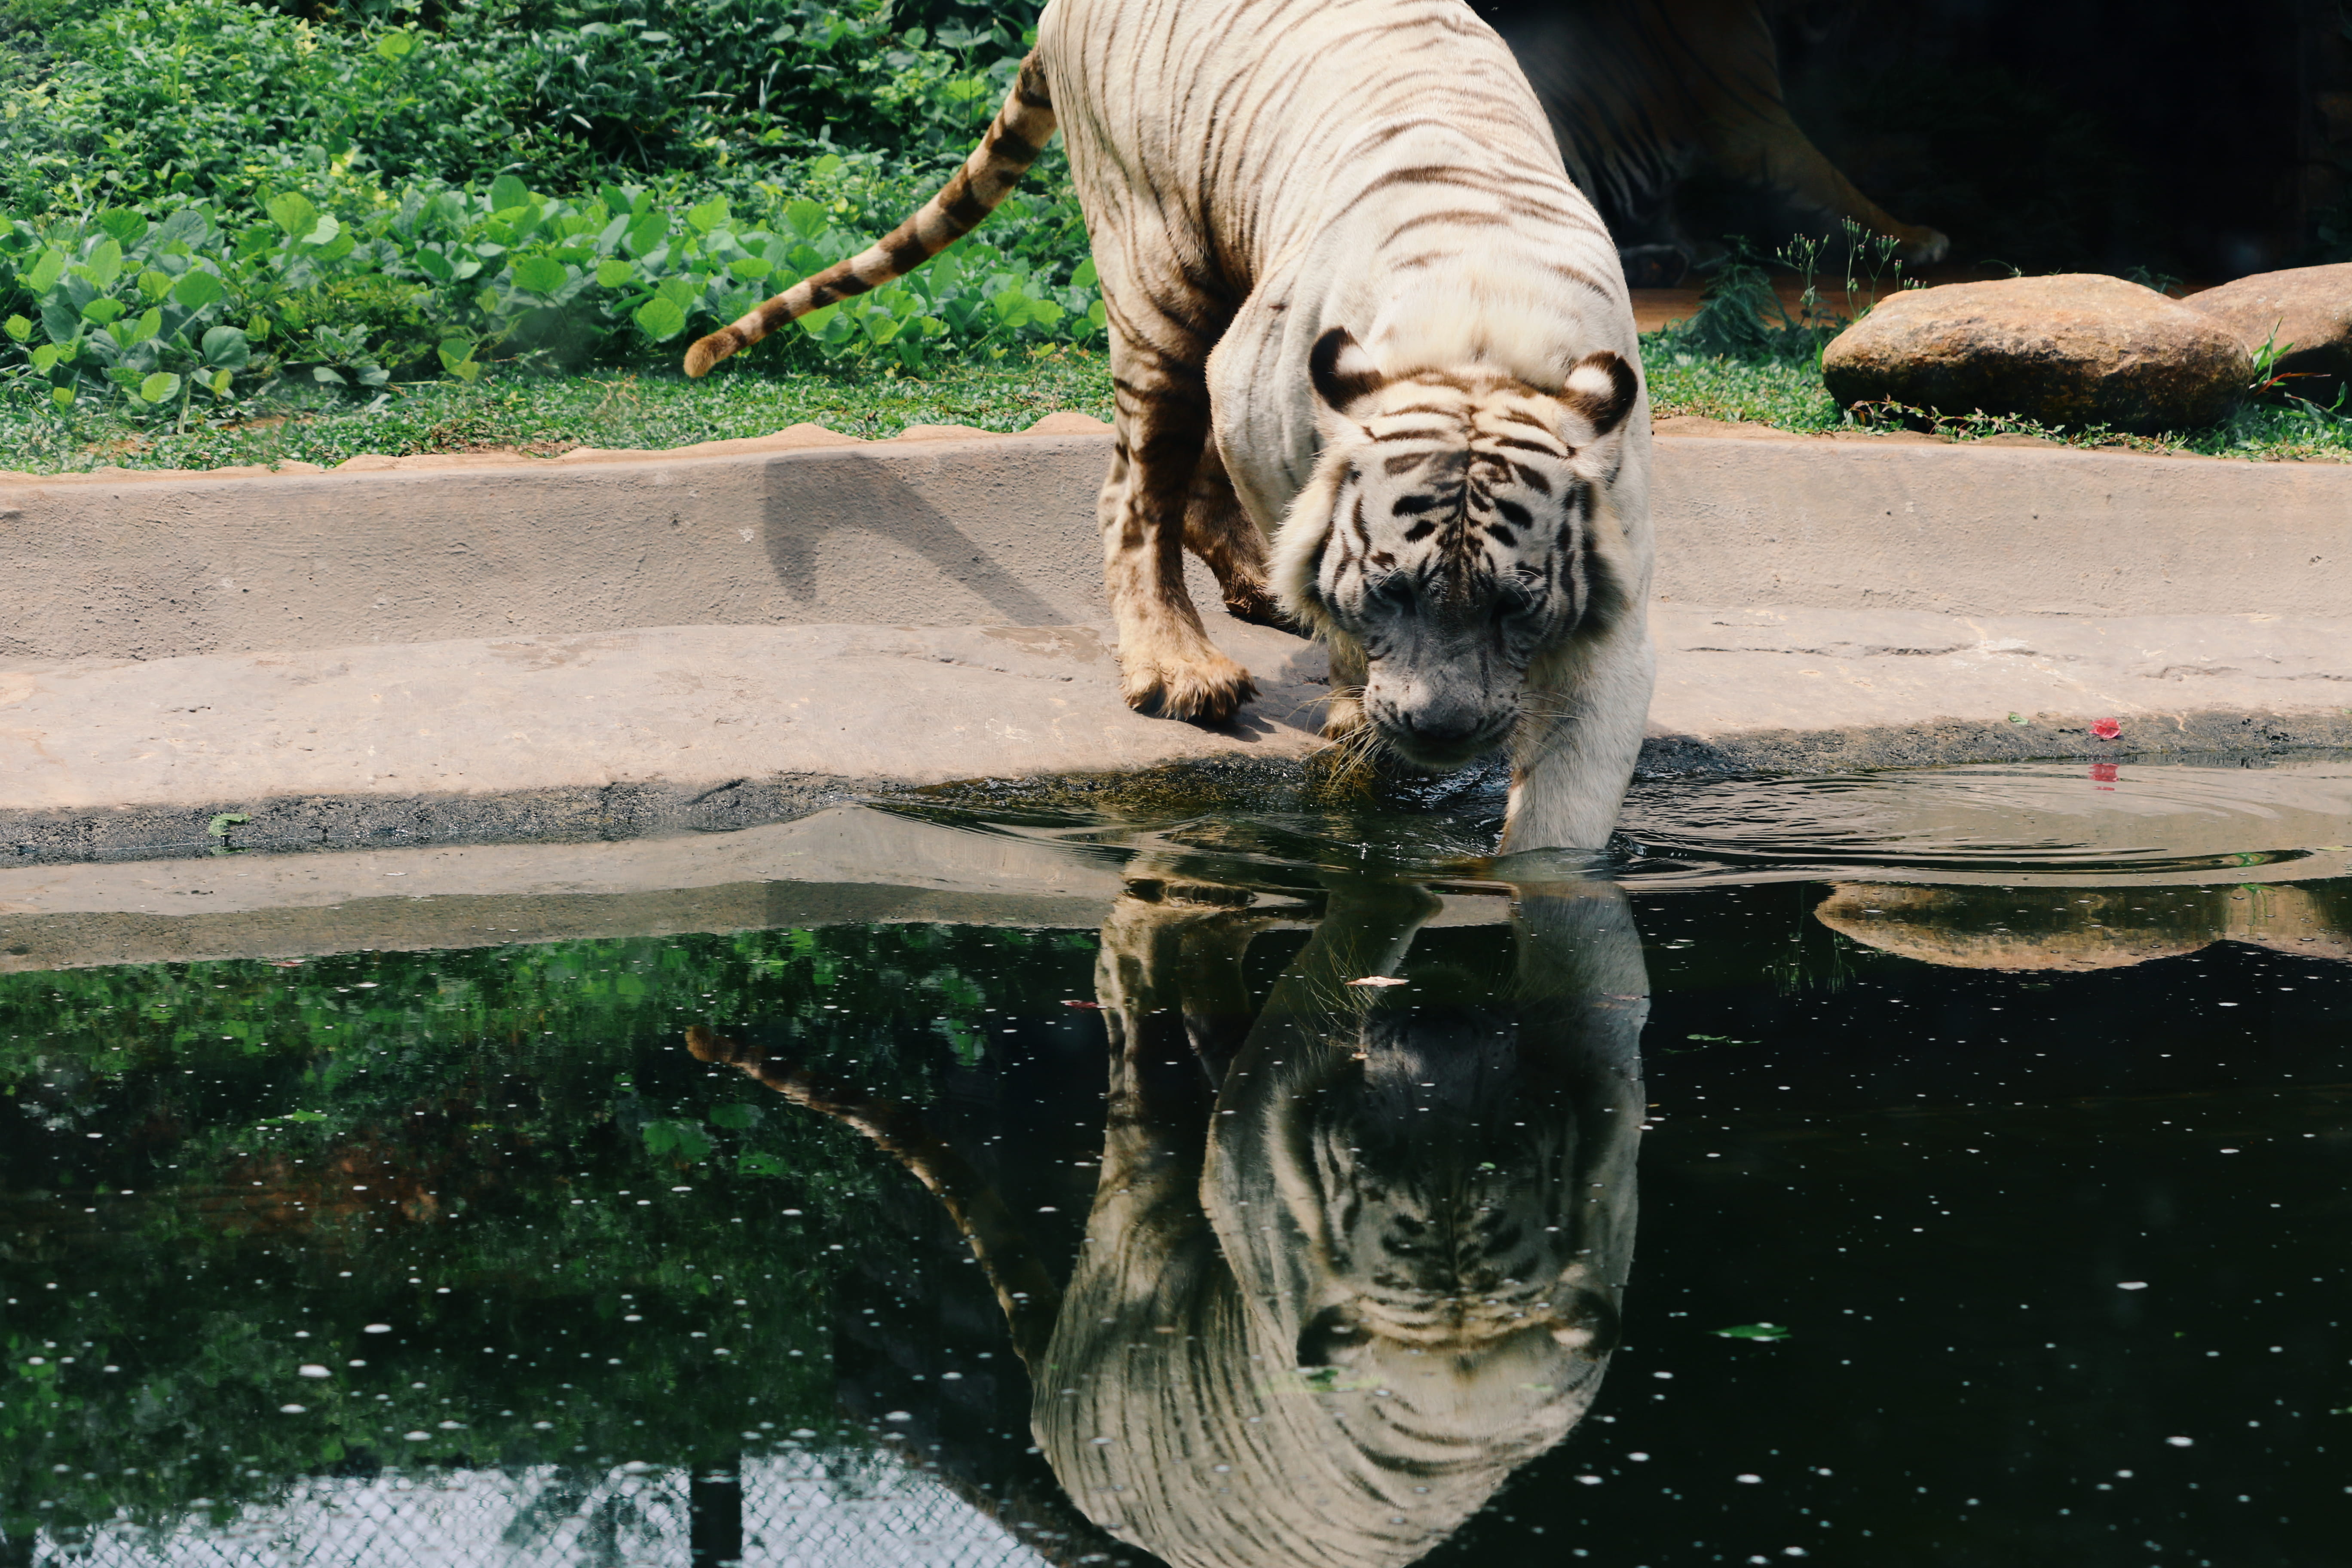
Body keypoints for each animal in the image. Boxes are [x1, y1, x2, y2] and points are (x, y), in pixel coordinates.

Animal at [685, 0, 1654, 851]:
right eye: (1392, 592)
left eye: (1513, 605)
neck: (1478, 345)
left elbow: (1568, 800)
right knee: (1135, 491)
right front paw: (1349, 710)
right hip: (1160, 276)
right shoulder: (1259, 407)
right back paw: (1180, 668)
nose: (1441, 731)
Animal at [1475, 0, 1951, 286]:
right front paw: (1916, 240)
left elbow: (1664, 208)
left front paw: (1699, 248)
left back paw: (1661, 263)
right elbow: (1841, 188)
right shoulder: (1759, 125)